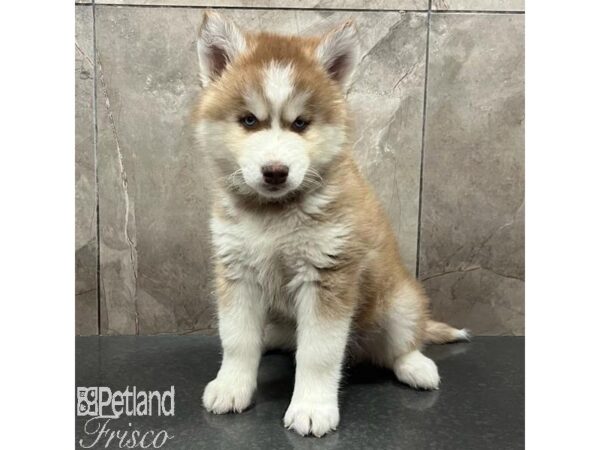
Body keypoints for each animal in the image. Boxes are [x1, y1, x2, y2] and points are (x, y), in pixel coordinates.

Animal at [193, 12, 468, 438]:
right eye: (249, 121)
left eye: (301, 123)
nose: (275, 172)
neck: (274, 216)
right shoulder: (237, 272)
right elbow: (237, 339)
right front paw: (232, 386)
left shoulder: (328, 275)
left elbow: (318, 353)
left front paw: (311, 408)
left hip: (400, 303)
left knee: (402, 343)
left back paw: (416, 366)